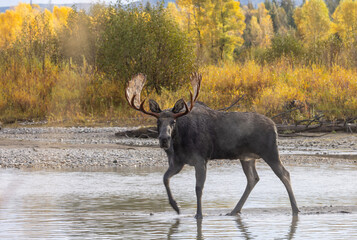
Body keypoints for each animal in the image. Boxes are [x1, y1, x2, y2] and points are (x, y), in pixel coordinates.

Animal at [125, 73, 298, 219]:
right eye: (158, 122)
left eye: (173, 121)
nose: (164, 139)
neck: (179, 145)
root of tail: (275, 126)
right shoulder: (177, 162)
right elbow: (165, 178)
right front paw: (176, 207)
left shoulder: (200, 159)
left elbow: (198, 188)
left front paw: (199, 215)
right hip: (246, 157)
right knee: (253, 178)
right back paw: (234, 210)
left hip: (270, 151)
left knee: (284, 173)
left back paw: (295, 209)